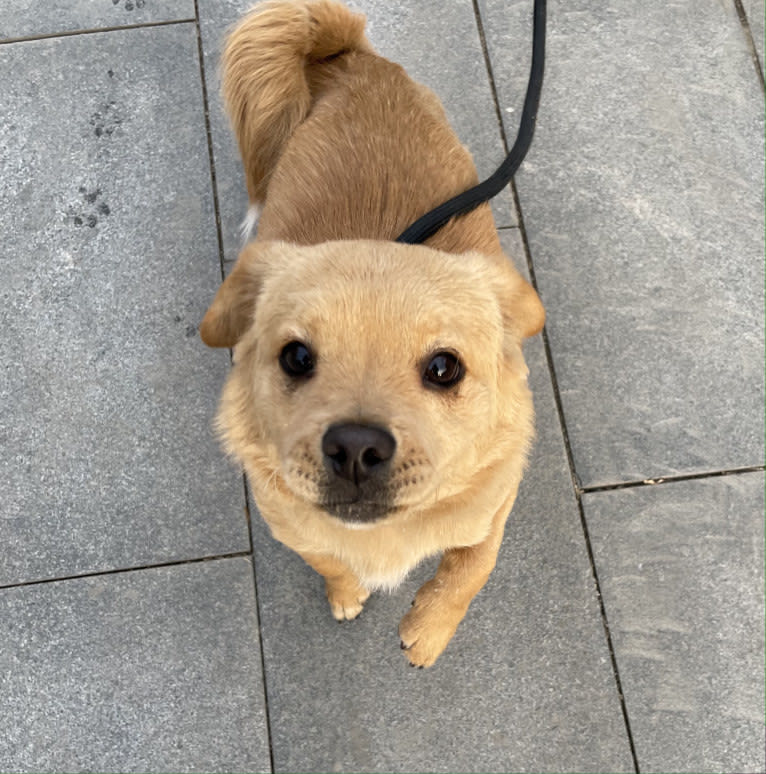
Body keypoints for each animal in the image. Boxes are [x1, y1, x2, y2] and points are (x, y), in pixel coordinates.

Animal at [201, 0, 544, 668]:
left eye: (444, 368)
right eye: (296, 356)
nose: (356, 447)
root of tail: (351, 57)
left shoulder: (495, 506)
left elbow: (470, 570)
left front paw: (428, 631)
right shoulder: (292, 525)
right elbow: (329, 561)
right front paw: (347, 593)